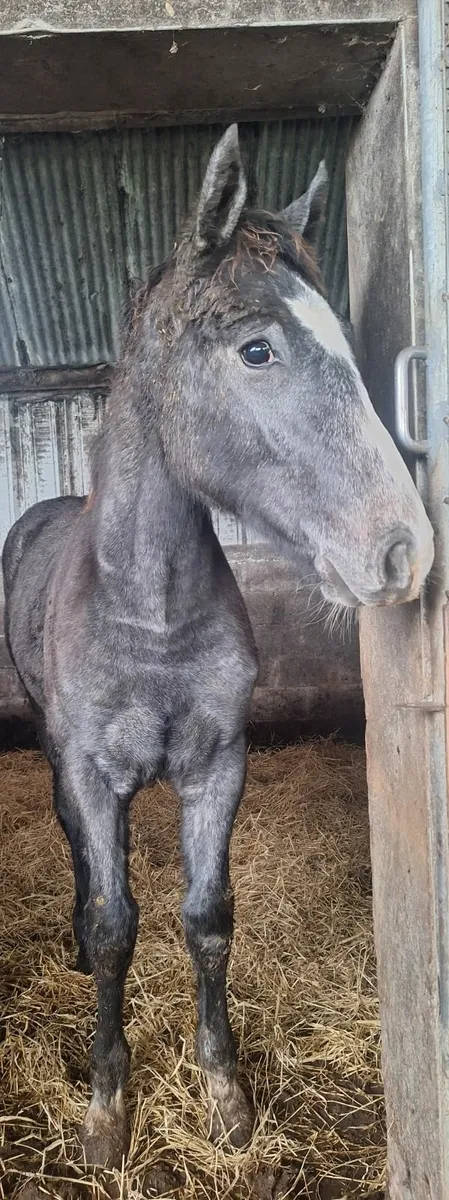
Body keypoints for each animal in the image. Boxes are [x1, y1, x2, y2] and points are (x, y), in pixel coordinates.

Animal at [2, 124, 434, 1168]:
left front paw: (225, 1096)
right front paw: (106, 1113)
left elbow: (206, 922)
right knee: (80, 854)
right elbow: (115, 926)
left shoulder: (217, 769)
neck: (149, 611)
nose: (403, 548)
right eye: (256, 348)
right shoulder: (91, 771)